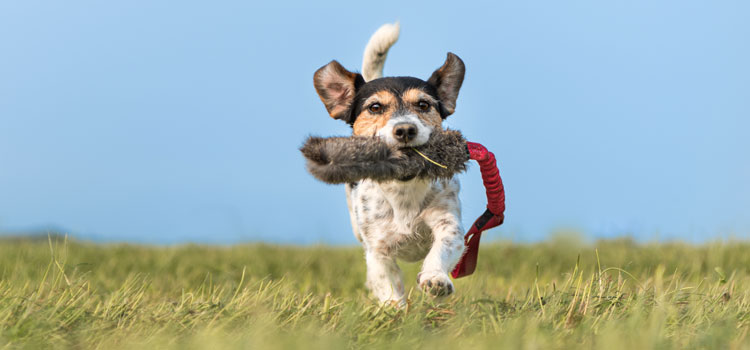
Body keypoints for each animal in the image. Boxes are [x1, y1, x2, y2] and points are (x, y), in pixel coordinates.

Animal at [312, 22, 468, 306]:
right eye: (375, 107)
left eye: (423, 104)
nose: (405, 129)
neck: (403, 187)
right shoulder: (378, 247)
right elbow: (386, 279)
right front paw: (393, 309)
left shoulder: (448, 222)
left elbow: (442, 247)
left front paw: (435, 279)